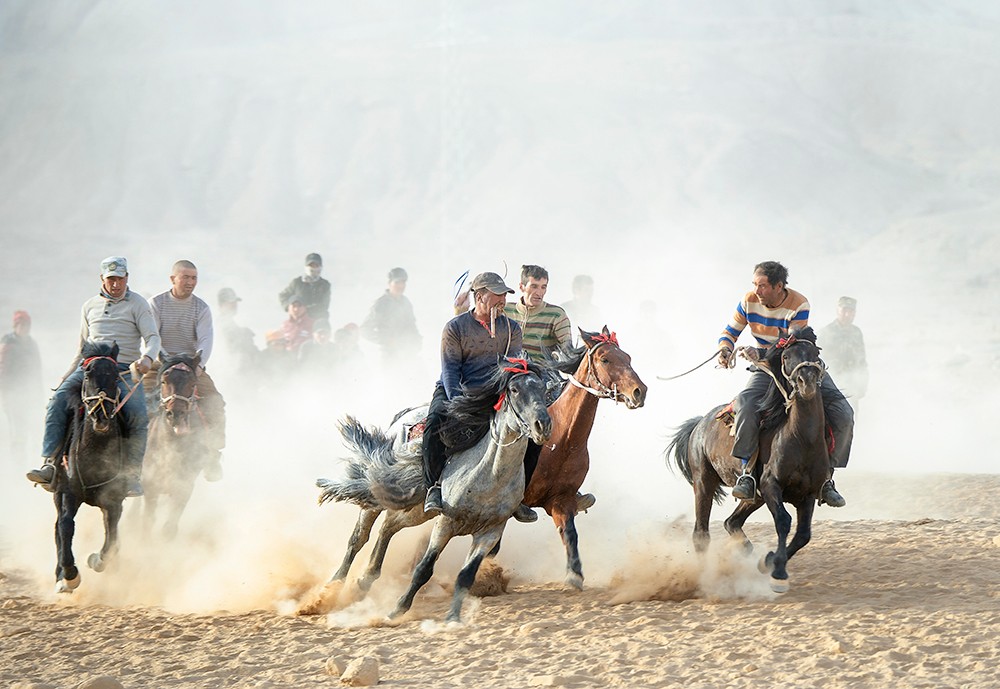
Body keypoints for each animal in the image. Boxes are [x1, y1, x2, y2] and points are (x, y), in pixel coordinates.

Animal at [52, 338, 133, 592]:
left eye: (116, 377)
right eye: (87, 374)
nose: (101, 417)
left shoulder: (114, 500)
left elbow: (112, 535)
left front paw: (96, 560)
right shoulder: (68, 492)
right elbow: (66, 526)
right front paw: (69, 575)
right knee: (57, 527)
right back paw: (59, 576)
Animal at [142, 352, 208, 540]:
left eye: (192, 383)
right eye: (164, 381)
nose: (175, 414)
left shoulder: (184, 486)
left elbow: (169, 528)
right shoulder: (150, 485)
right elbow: (148, 521)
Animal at [318, 358, 552, 620]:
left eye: (542, 388)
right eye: (514, 389)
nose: (542, 426)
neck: (489, 477)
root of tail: (406, 414)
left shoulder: (490, 531)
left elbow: (466, 576)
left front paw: (453, 617)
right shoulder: (445, 523)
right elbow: (424, 568)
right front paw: (397, 610)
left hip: (417, 510)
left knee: (389, 526)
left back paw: (365, 581)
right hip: (382, 488)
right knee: (359, 536)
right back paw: (333, 586)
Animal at [524, 326, 648, 588]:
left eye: (628, 357)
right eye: (605, 359)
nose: (639, 391)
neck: (561, 440)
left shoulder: (561, 499)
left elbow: (569, 532)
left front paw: (574, 574)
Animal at [672, 326, 836, 592]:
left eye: (815, 353)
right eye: (786, 357)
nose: (807, 382)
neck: (801, 439)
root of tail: (699, 424)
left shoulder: (808, 494)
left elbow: (803, 534)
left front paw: (767, 561)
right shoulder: (771, 486)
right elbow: (783, 521)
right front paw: (777, 571)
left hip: (754, 496)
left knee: (732, 522)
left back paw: (746, 551)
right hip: (704, 482)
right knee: (701, 533)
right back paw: (705, 577)